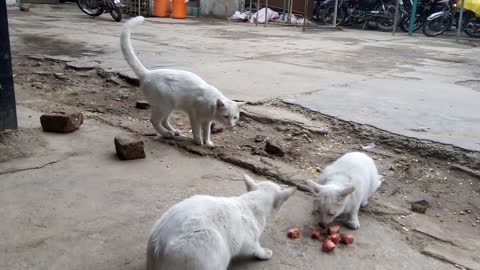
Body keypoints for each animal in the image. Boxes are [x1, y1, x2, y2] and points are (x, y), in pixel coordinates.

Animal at [120, 16, 244, 148]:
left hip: (169, 107)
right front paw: (197, 140)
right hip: (163, 106)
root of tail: (148, 73)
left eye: (235, 117)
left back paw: (173, 131)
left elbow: (206, 132)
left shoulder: (207, 121)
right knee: (154, 121)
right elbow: (196, 129)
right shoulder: (194, 115)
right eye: (226, 116)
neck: (211, 106)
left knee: (164, 120)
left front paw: (208, 142)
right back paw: (166, 133)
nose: (231, 124)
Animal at [146, 175, 296, 270]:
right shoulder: (248, 240)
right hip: (211, 242)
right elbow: (256, 248)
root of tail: (157, 246)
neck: (252, 199)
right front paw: (264, 253)